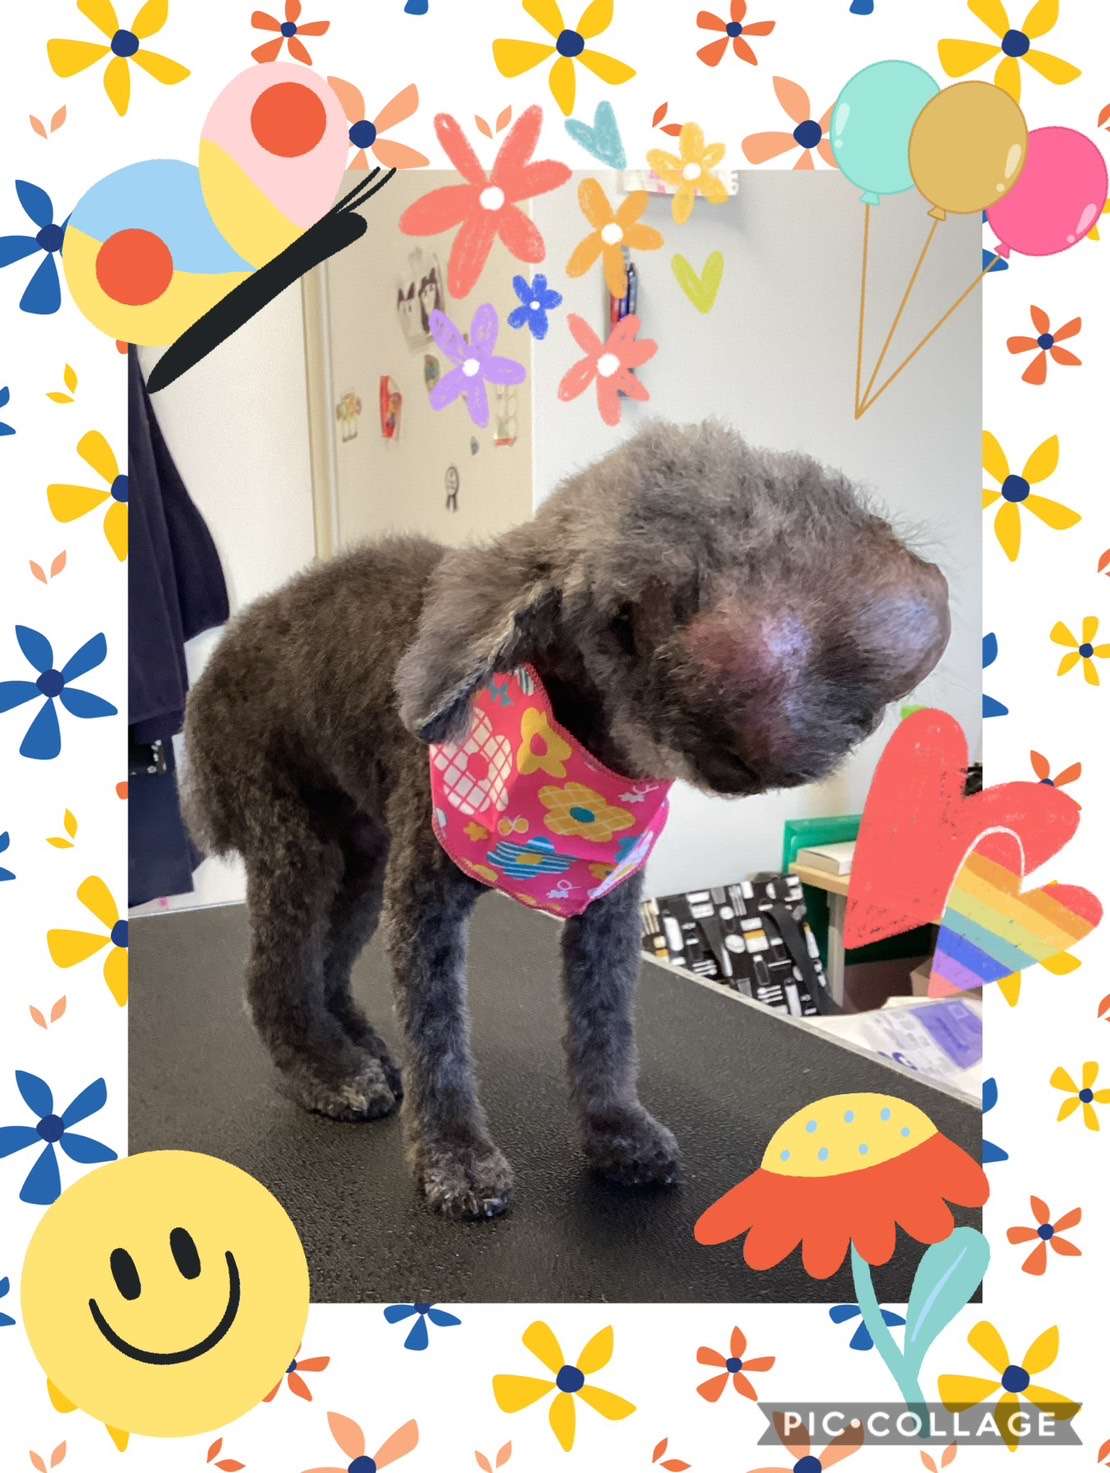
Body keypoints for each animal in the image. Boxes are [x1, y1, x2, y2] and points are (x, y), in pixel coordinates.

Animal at [182, 420, 949, 1220]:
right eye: (624, 621)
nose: (760, 731)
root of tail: (220, 657)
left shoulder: (608, 908)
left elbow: (605, 1031)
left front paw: (617, 1133)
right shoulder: (425, 905)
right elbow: (439, 1041)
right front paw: (455, 1158)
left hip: (362, 857)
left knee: (326, 965)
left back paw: (358, 1044)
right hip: (294, 838)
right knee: (274, 975)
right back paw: (326, 1070)